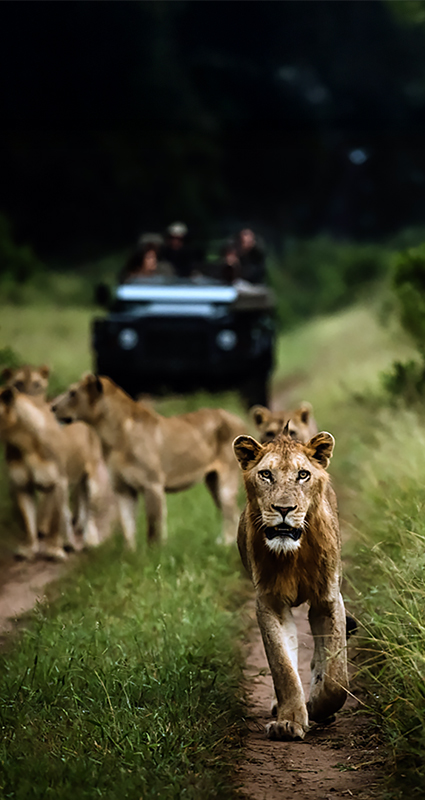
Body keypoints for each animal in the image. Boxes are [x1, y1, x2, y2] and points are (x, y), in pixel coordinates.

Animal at [52, 374, 246, 549]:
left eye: (72, 393)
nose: (52, 407)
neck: (112, 438)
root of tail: (237, 418)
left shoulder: (152, 485)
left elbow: (154, 526)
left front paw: (155, 554)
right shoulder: (123, 489)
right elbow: (128, 527)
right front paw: (130, 555)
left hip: (226, 482)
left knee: (230, 513)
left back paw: (225, 546)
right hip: (212, 481)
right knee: (232, 514)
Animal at [233, 430, 348, 740]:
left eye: (303, 475)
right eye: (266, 475)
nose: (284, 509)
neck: (292, 555)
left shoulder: (328, 600)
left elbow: (336, 675)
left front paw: (319, 706)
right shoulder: (269, 601)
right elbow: (282, 666)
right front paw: (289, 721)